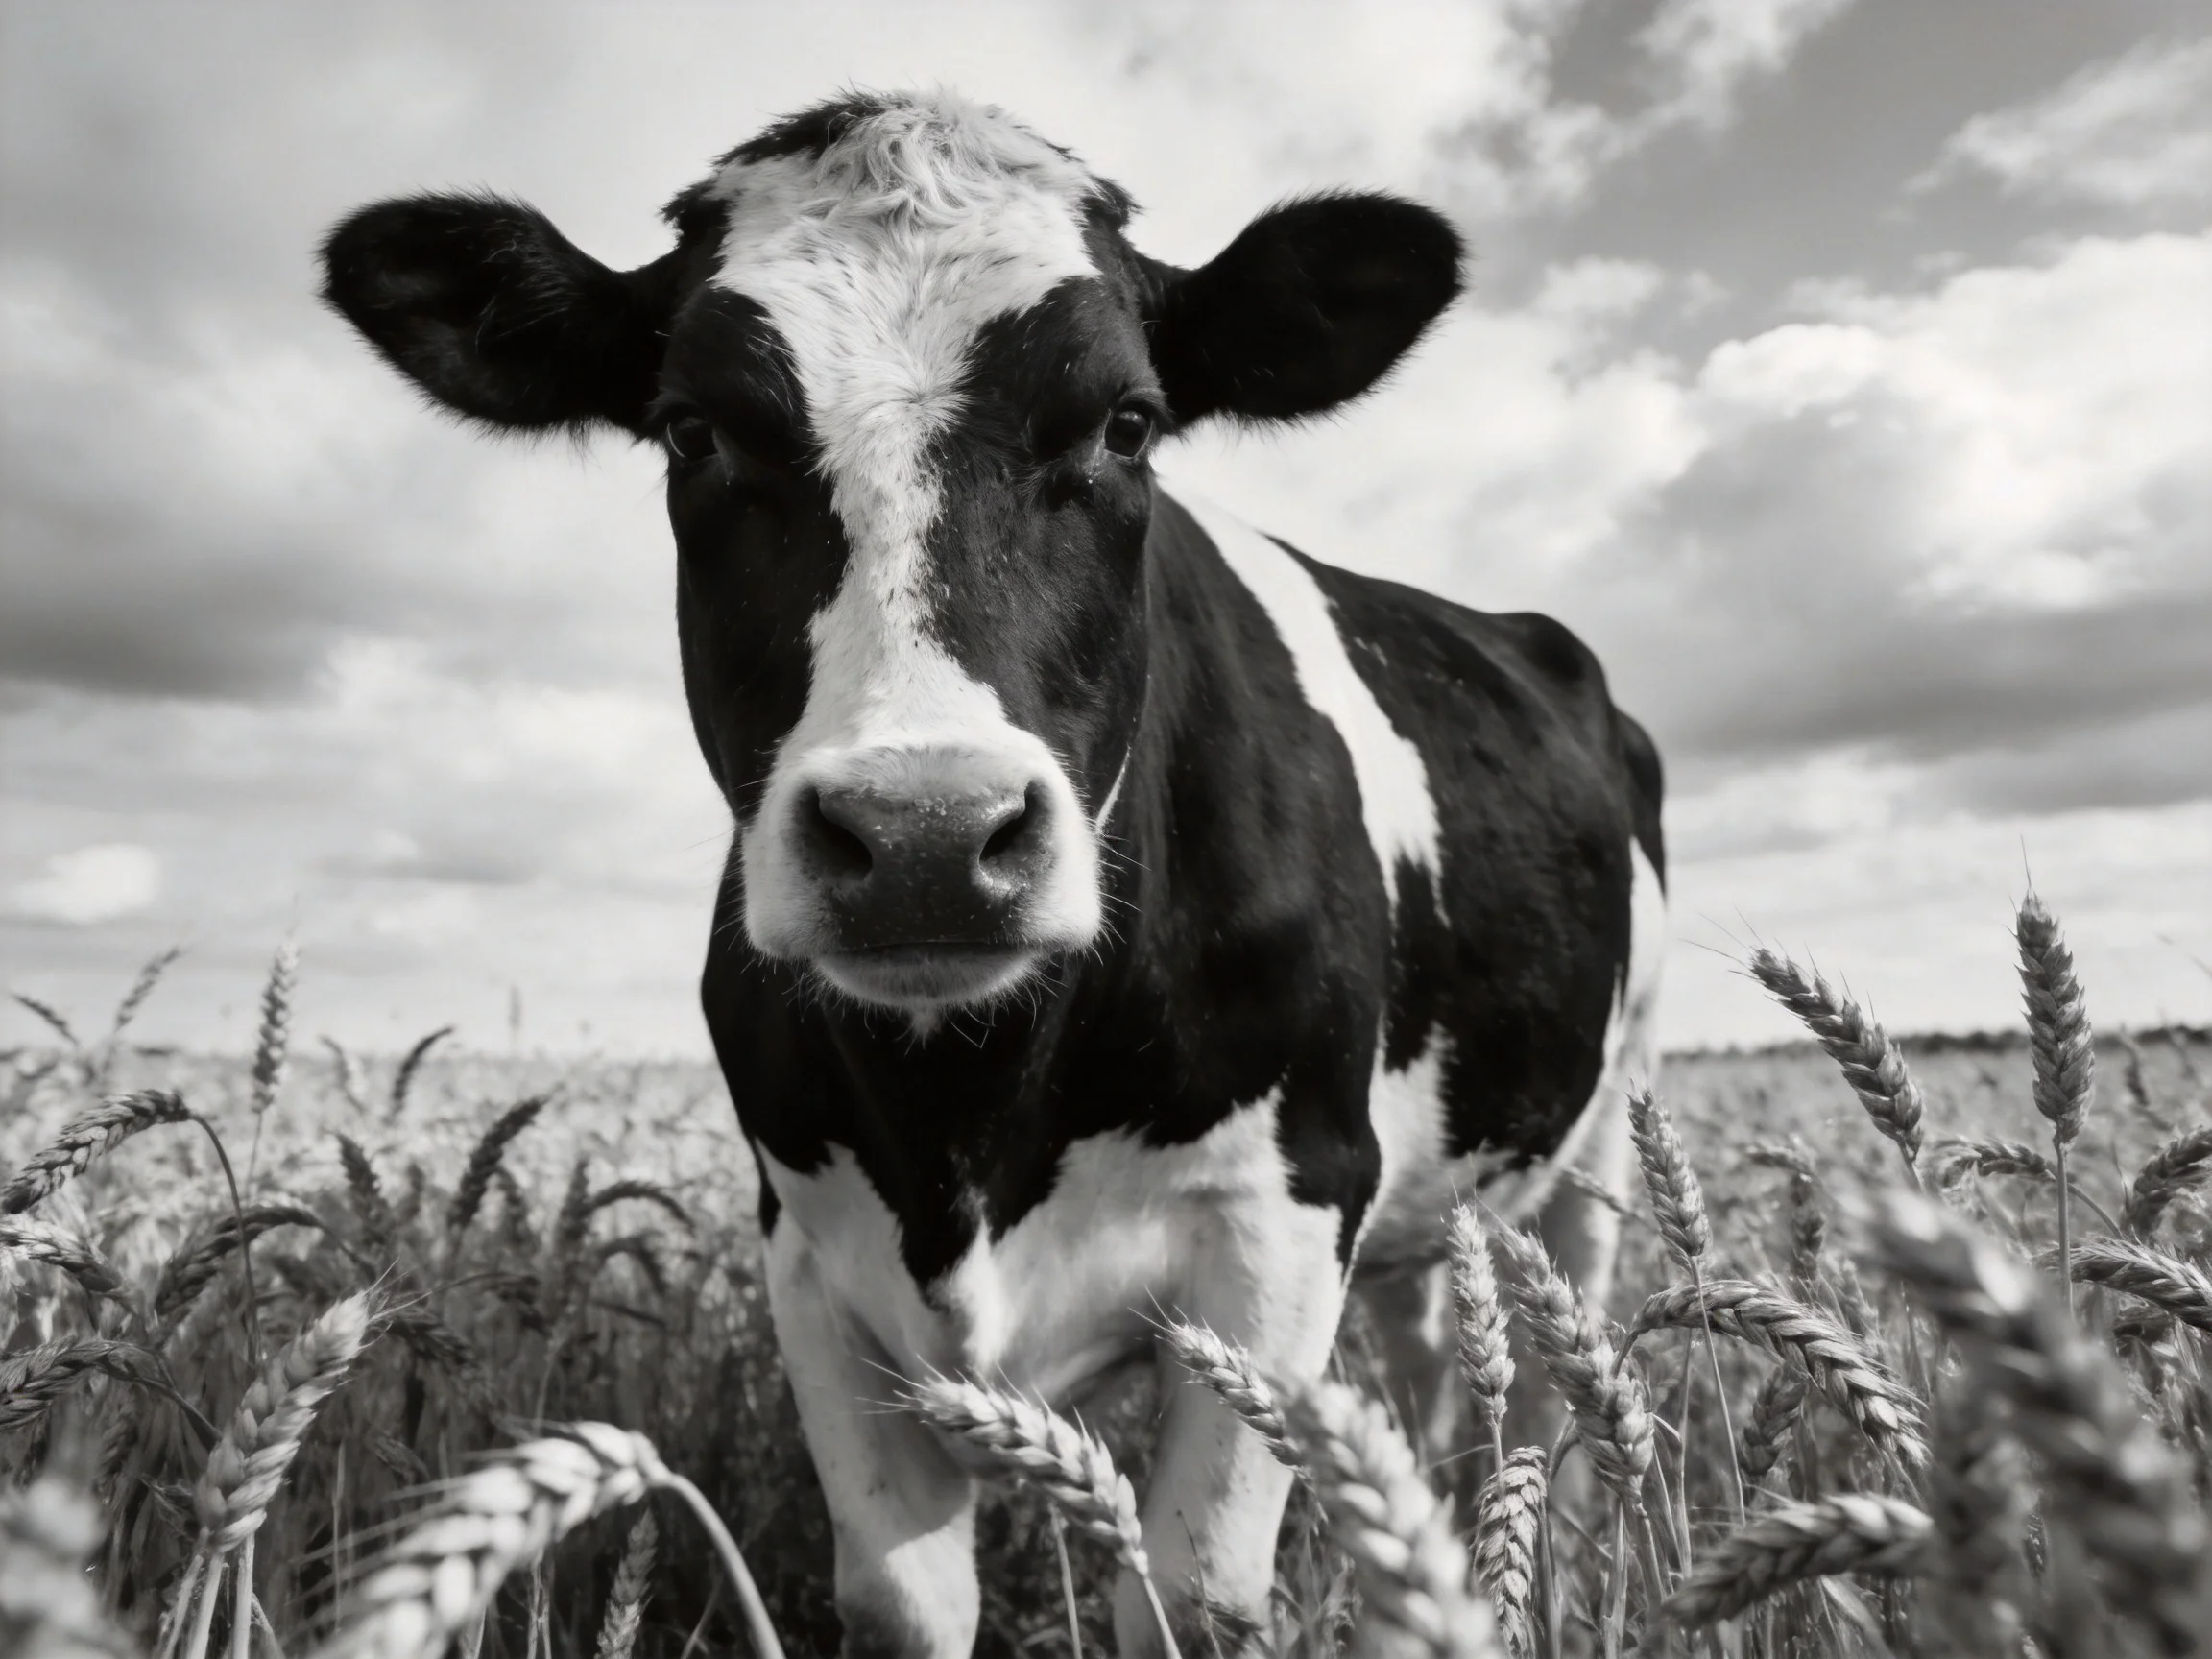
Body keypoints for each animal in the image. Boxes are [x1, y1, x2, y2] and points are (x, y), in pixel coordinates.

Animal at [322, 89, 1665, 1659]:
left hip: (1603, 1135)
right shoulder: (808, 1249)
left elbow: (1195, 1594)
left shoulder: (1288, 1211)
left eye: (1128, 424)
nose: (924, 838)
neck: (963, 1124)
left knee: (1560, 1408)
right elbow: (905, 1599)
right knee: (1446, 1382)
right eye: (692, 430)